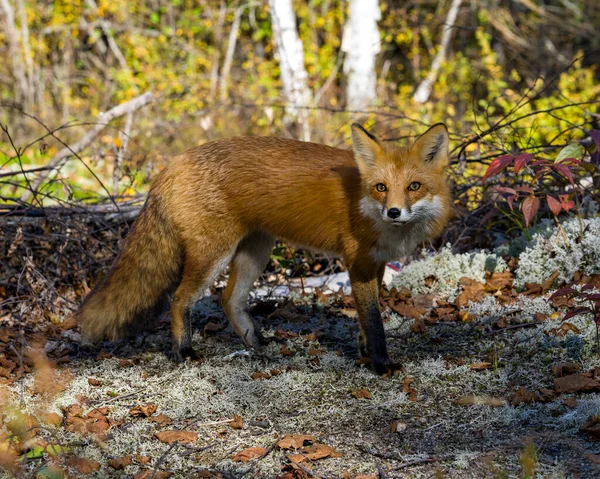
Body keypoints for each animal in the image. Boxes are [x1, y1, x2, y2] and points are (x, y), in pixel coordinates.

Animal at [77, 124, 448, 376]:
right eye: (381, 188)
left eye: (414, 186)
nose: (394, 212)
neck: (362, 203)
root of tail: (171, 164)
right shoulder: (357, 263)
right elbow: (373, 321)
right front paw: (381, 363)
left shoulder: (375, 264)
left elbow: (365, 320)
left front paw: (365, 353)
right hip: (214, 254)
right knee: (180, 299)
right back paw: (184, 352)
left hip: (256, 250)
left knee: (230, 300)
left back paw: (255, 345)